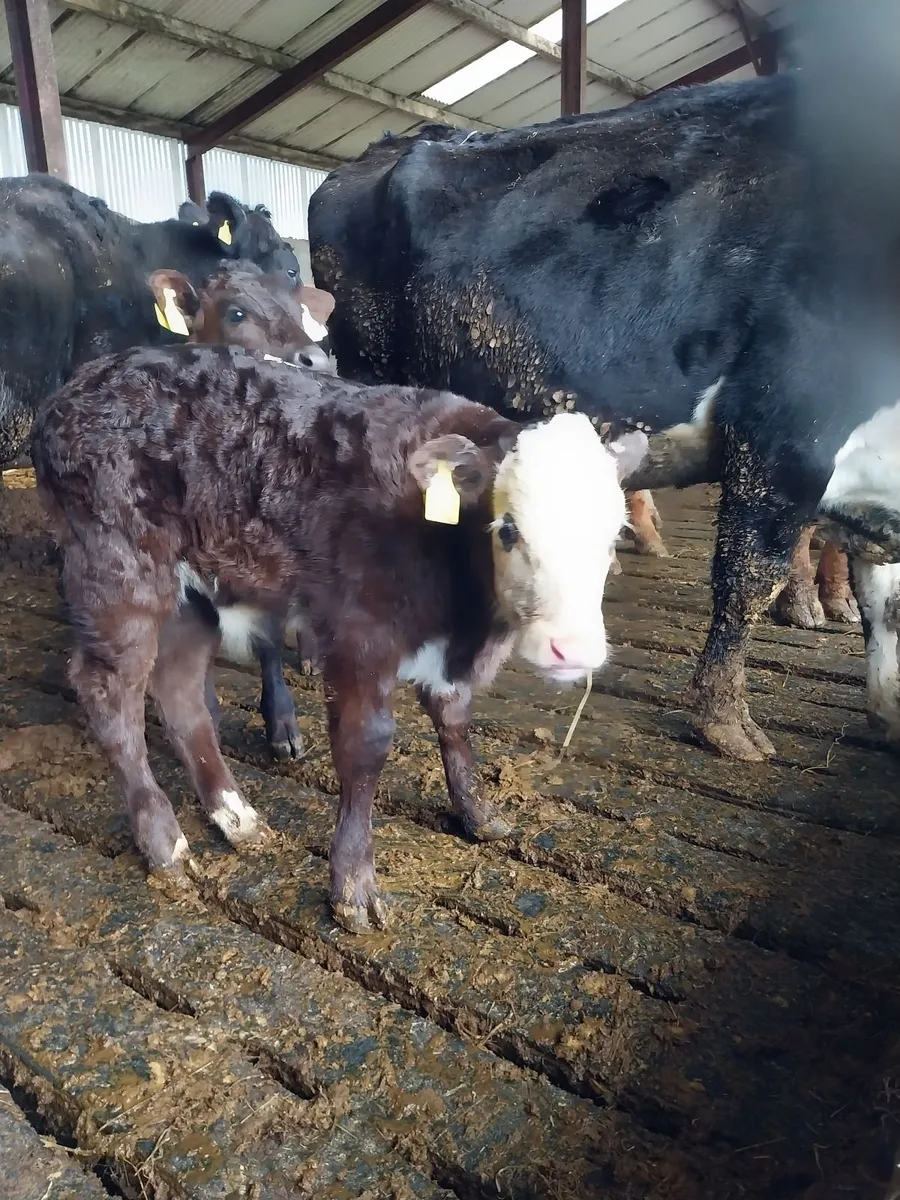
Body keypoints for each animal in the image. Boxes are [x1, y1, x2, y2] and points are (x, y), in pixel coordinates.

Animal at [30, 342, 646, 930]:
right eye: (509, 529)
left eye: (615, 534)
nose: (572, 649)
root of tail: (78, 384)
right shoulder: (359, 638)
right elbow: (364, 747)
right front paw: (353, 887)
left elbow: (454, 720)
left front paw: (479, 813)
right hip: (118, 574)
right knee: (109, 693)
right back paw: (165, 844)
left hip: (195, 592)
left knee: (180, 692)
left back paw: (236, 816)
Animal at [308, 1, 900, 763]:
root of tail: (382, 150)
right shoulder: (782, 428)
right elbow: (748, 579)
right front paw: (726, 722)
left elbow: (884, 598)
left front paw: (889, 711)